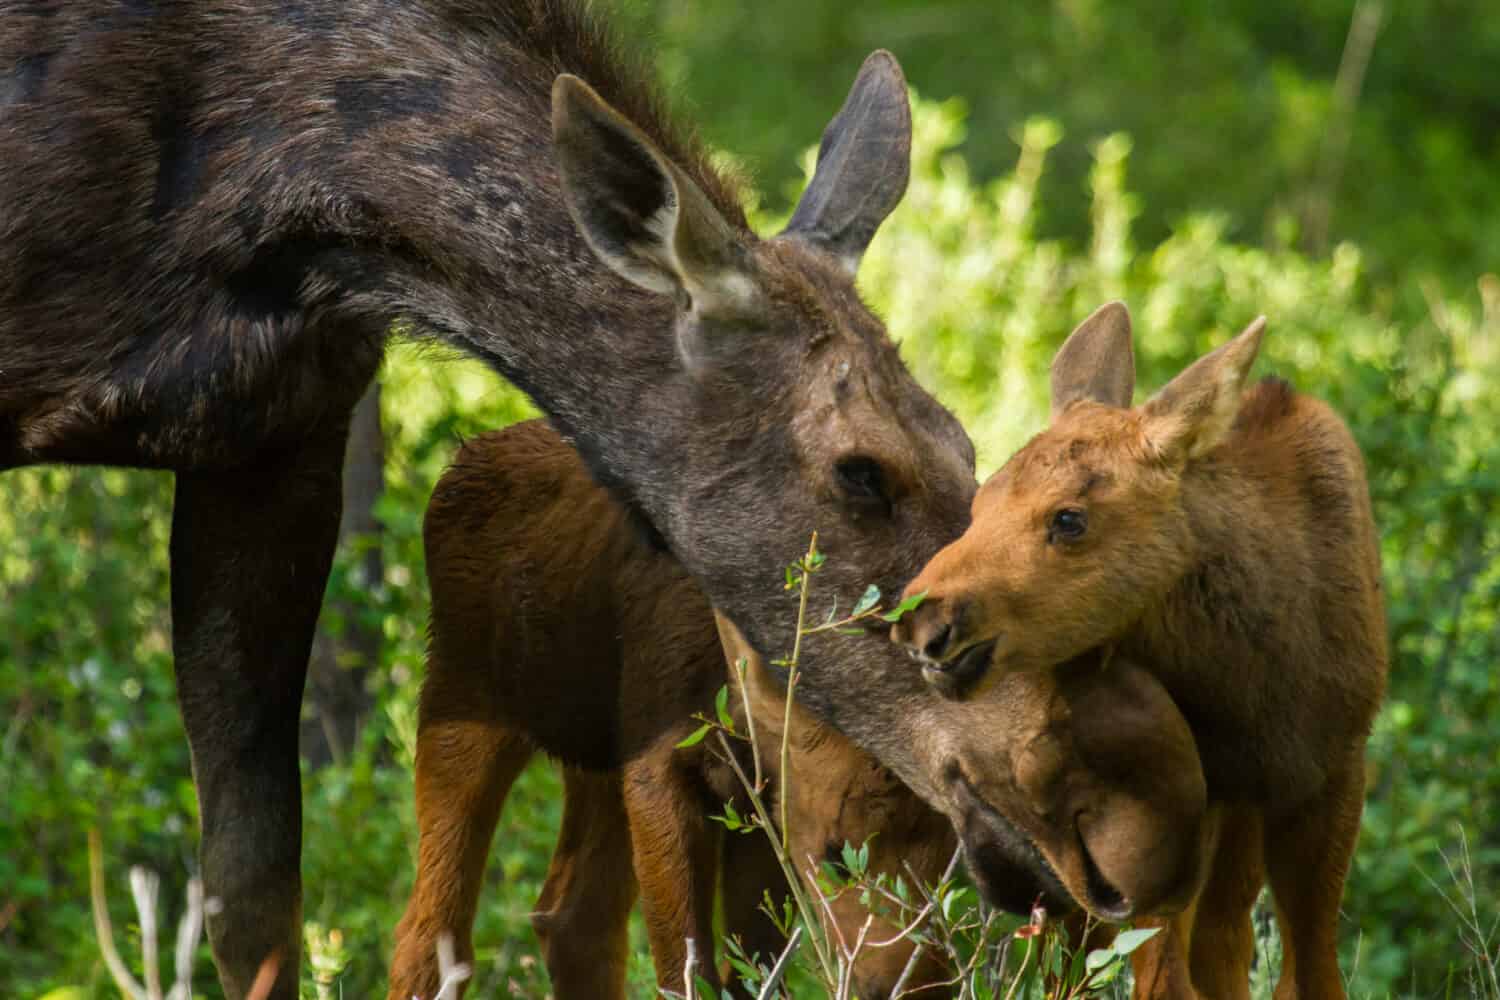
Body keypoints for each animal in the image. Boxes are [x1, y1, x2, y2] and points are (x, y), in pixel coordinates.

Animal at [882, 305, 1386, 1000]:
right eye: (980, 503)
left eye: (1070, 519)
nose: (922, 619)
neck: (1253, 693)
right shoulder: (1181, 808)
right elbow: (1165, 977)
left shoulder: (1335, 770)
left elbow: (1311, 975)